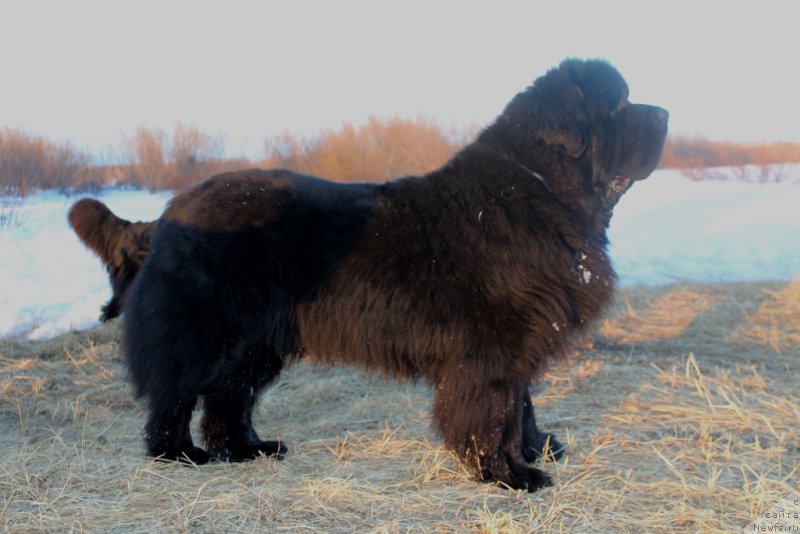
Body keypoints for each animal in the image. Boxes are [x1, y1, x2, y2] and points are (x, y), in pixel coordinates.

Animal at [122, 59, 664, 494]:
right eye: (618, 106)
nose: (664, 113)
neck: (544, 189)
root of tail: (172, 210)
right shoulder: (493, 349)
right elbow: (496, 412)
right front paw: (510, 474)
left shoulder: (522, 340)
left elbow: (521, 404)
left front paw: (533, 450)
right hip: (205, 334)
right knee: (176, 393)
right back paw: (179, 453)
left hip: (257, 345)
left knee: (227, 398)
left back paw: (247, 448)